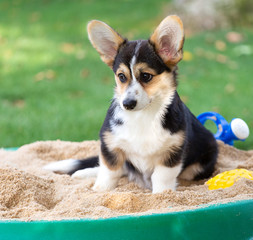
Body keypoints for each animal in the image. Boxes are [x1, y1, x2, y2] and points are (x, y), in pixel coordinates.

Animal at [45, 15, 217, 193]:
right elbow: (109, 172)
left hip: (202, 161)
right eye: (121, 76)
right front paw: (100, 190)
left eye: (146, 76)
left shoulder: (172, 151)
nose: (127, 104)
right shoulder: (110, 145)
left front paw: (162, 194)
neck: (143, 116)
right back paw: (83, 173)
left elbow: (162, 178)